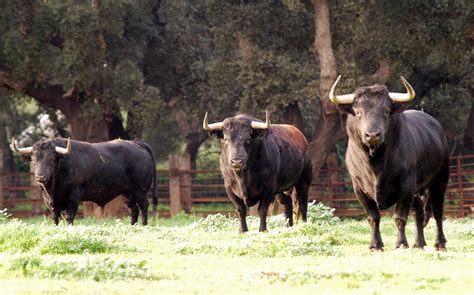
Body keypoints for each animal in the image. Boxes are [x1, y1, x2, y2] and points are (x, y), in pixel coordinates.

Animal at [11, 138, 157, 225]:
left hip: (140, 191)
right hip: (127, 193)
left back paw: (143, 226)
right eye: (34, 160)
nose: (41, 177)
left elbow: (69, 217)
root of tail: (137, 144)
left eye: (51, 160)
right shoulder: (51, 203)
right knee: (133, 209)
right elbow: (55, 218)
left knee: (143, 206)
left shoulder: (73, 199)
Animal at [330, 75, 448, 250]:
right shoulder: (359, 188)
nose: (372, 135)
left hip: (440, 179)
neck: (375, 164)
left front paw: (401, 243)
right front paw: (375, 245)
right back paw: (418, 243)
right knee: (419, 213)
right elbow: (373, 218)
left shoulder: (406, 185)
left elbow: (400, 217)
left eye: (386, 111)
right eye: (358, 112)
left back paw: (440, 243)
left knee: (438, 211)